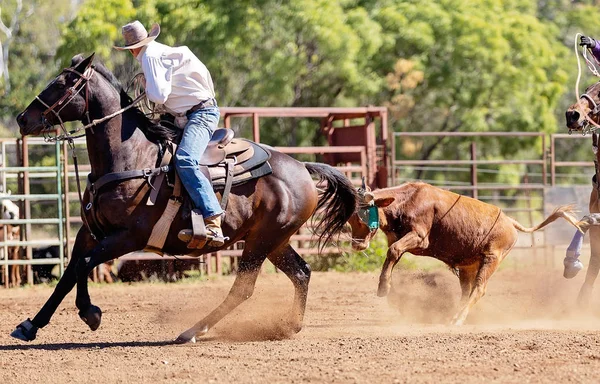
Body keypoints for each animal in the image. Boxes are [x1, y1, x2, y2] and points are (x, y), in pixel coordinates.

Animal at [12, 52, 356, 344]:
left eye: (60, 84)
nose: (21, 119)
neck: (132, 157)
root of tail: (301, 167)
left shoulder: (129, 236)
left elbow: (84, 265)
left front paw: (90, 313)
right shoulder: (89, 232)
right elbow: (69, 272)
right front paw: (30, 325)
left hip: (261, 242)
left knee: (244, 288)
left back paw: (193, 330)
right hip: (274, 240)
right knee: (301, 273)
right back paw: (289, 325)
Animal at [350, 182, 584, 326]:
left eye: (364, 214)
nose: (357, 244)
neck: (407, 200)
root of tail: (510, 221)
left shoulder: (419, 236)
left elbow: (393, 250)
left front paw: (383, 288)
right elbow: (392, 256)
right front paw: (390, 290)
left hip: (492, 259)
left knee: (478, 289)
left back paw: (458, 319)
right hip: (468, 267)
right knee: (467, 291)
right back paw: (455, 315)